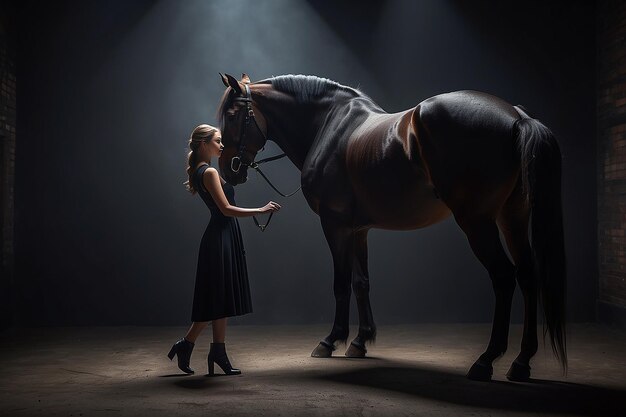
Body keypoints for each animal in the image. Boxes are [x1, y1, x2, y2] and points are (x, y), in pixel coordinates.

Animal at [214, 72, 564, 380]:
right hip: (512, 217)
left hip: (477, 222)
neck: (328, 126)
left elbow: (341, 284)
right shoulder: (358, 230)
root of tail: (516, 117)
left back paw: (486, 360)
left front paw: (330, 340)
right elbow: (361, 282)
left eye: (233, 115)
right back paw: (521, 361)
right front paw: (360, 341)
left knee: (504, 278)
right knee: (527, 275)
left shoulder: (335, 225)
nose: (228, 170)